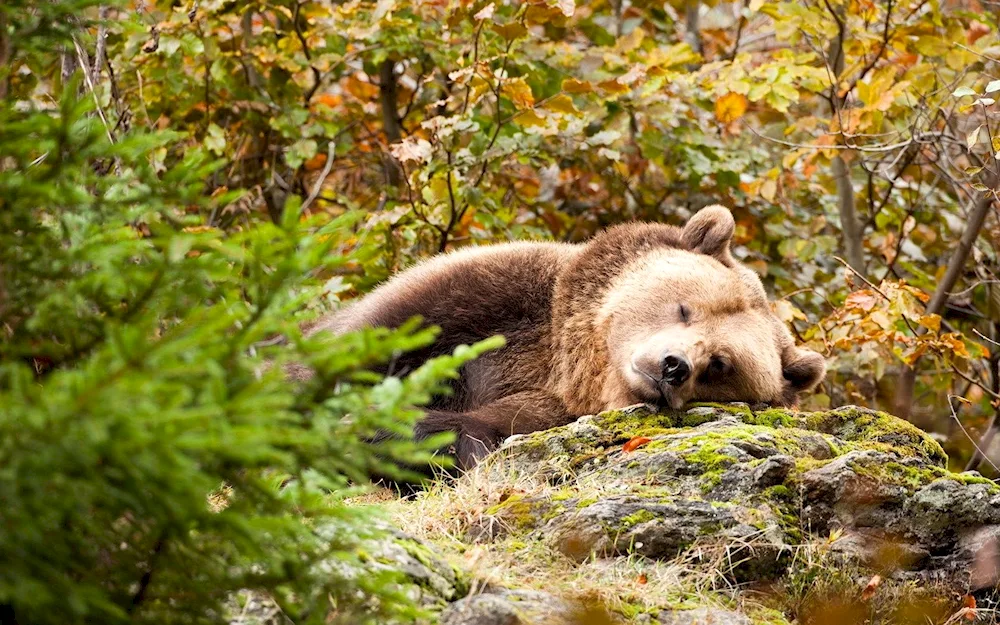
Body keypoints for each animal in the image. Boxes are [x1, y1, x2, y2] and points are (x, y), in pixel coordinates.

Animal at [306, 205, 828, 468]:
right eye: (686, 308)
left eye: (721, 363)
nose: (673, 366)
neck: (567, 358)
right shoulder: (489, 296)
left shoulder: (551, 408)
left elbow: (472, 430)